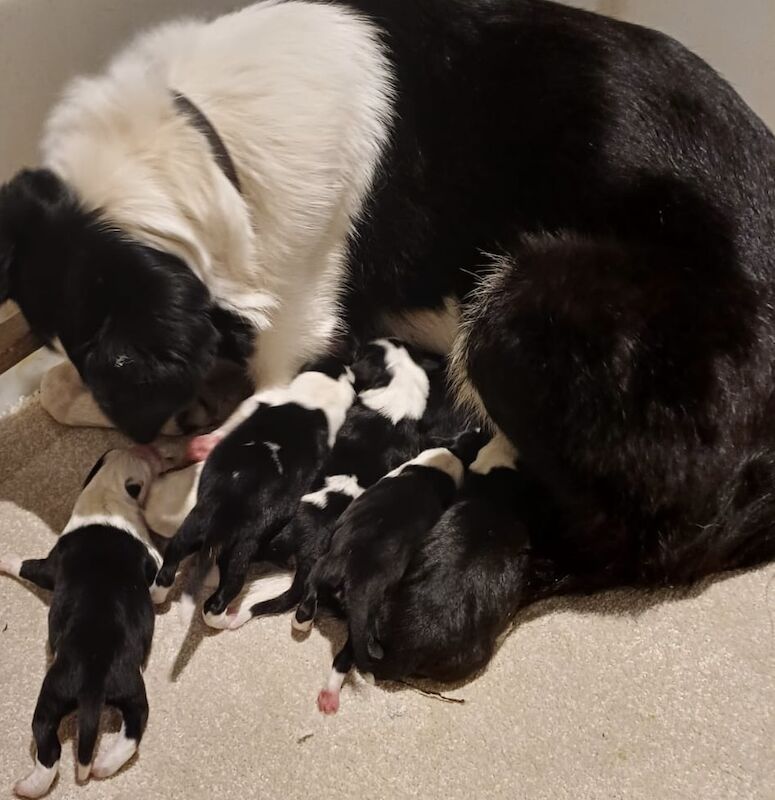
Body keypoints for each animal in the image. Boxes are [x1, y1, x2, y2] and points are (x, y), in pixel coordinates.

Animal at [0, 446, 161, 796]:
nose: (150, 450)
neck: (108, 492)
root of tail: (92, 685)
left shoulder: (48, 565)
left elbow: (25, 565)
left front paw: (3, 559)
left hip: (54, 696)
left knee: (50, 752)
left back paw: (32, 785)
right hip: (126, 692)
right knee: (130, 731)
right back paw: (98, 766)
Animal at [152, 360, 358, 628]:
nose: (347, 364)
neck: (312, 403)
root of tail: (221, 517)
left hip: (189, 529)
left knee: (168, 569)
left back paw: (156, 595)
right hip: (240, 556)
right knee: (215, 604)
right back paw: (225, 618)